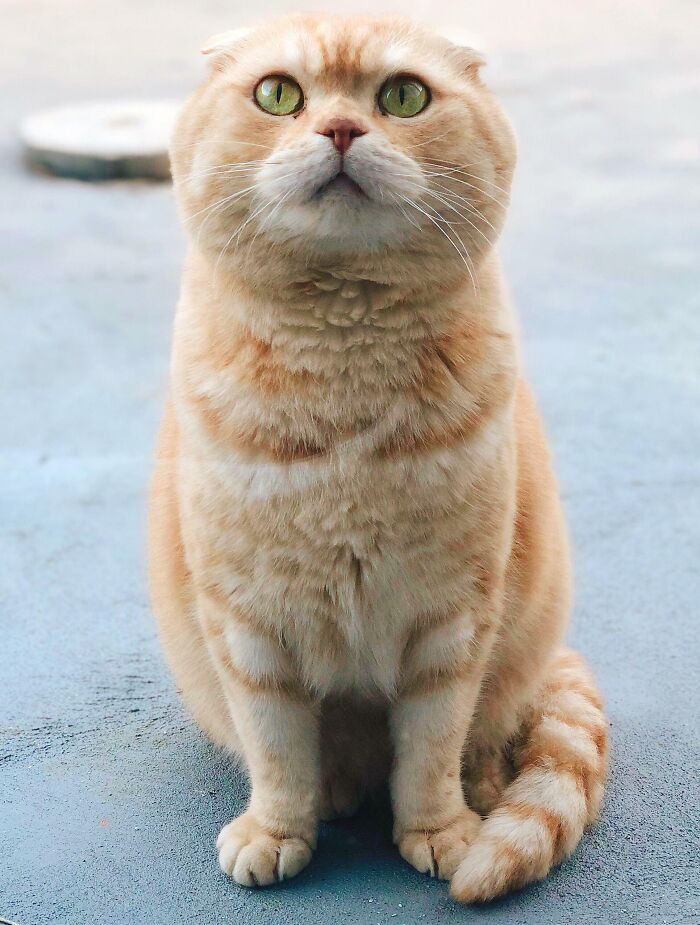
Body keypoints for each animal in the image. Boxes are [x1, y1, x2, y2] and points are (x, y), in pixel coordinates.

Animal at [149, 12, 608, 904]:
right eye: (278, 94)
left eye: (402, 97)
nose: (339, 130)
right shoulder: (247, 629)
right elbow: (276, 750)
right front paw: (278, 830)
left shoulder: (453, 624)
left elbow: (430, 751)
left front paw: (440, 832)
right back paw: (333, 792)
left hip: (518, 652)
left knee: (488, 737)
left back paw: (484, 794)